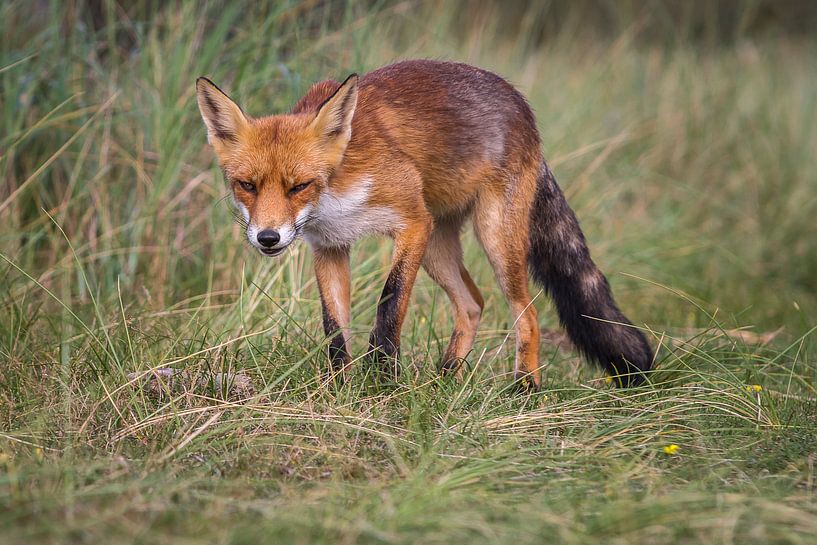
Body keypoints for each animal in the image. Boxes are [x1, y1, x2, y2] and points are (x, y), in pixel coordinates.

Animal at [196, 60, 652, 386]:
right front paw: (339, 387)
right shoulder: (329, 246)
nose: (268, 238)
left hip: (492, 237)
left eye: (299, 186)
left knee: (528, 313)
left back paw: (525, 387)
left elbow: (390, 303)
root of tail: (522, 105)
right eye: (247, 186)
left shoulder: (412, 223)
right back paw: (445, 379)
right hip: (439, 246)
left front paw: (382, 380)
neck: (335, 194)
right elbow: (333, 328)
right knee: (472, 304)